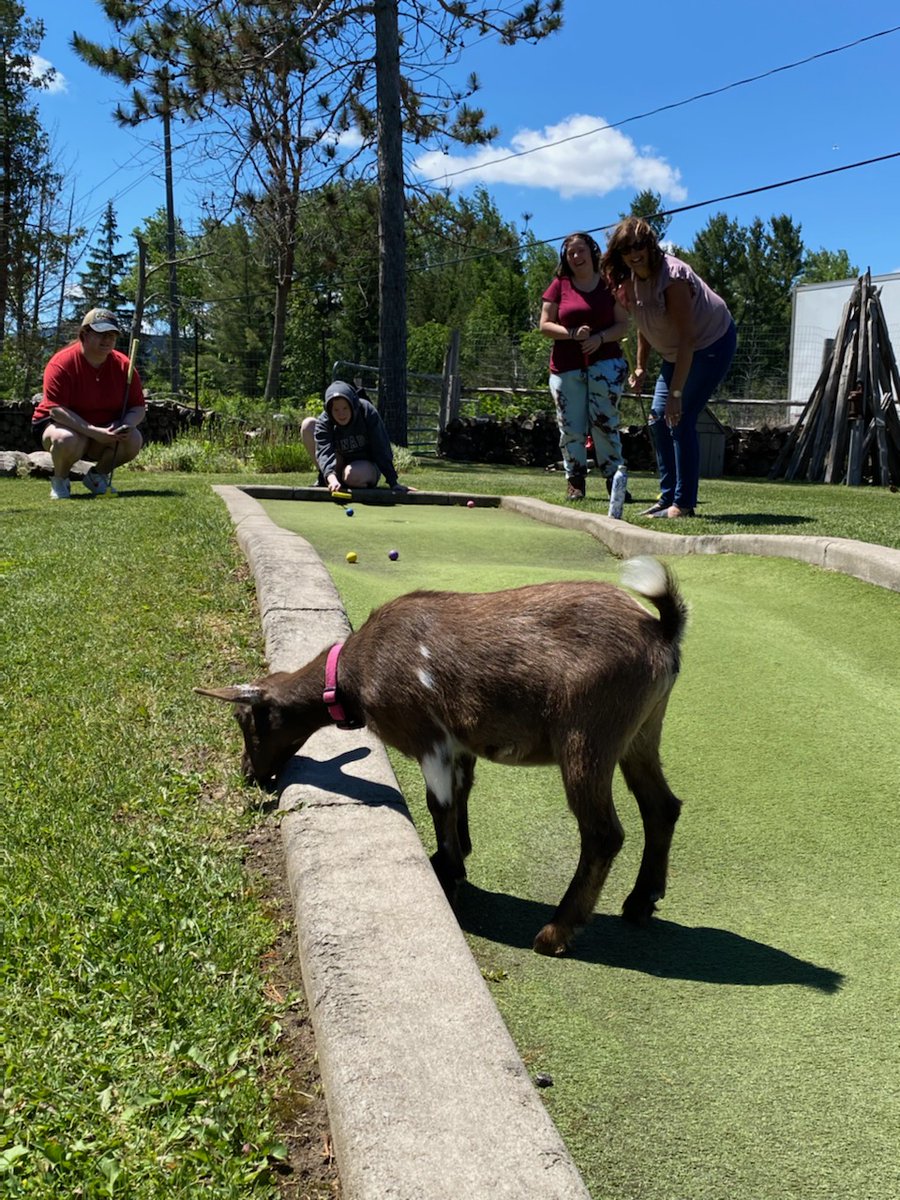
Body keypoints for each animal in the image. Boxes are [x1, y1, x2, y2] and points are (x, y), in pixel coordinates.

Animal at [196, 556, 688, 956]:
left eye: (245, 720)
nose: (249, 775)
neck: (353, 674)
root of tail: (661, 630)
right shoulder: (461, 744)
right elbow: (462, 793)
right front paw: (458, 854)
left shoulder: (428, 736)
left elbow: (440, 804)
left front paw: (449, 874)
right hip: (641, 731)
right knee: (661, 806)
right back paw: (640, 902)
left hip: (587, 735)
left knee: (603, 832)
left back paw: (555, 933)